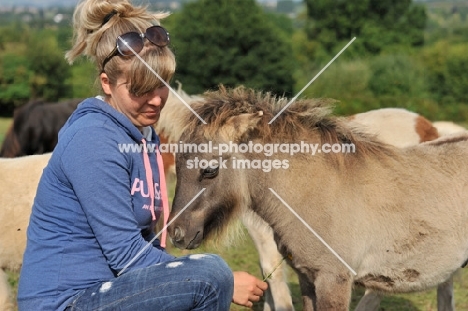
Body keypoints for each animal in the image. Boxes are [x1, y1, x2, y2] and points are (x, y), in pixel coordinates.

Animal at [168, 87, 468, 311]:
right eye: (178, 162)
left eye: (209, 170)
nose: (177, 233)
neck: (317, 192)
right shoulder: (307, 278)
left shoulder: (333, 280)